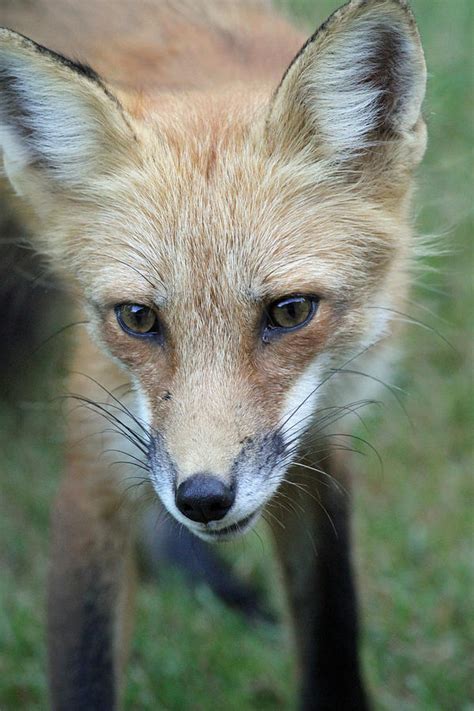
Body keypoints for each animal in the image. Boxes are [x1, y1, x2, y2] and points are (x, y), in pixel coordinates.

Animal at [0, 0, 428, 708]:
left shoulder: (319, 437)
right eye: (138, 318)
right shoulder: (94, 464)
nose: (202, 498)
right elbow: (86, 671)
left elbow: (331, 628)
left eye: (290, 312)